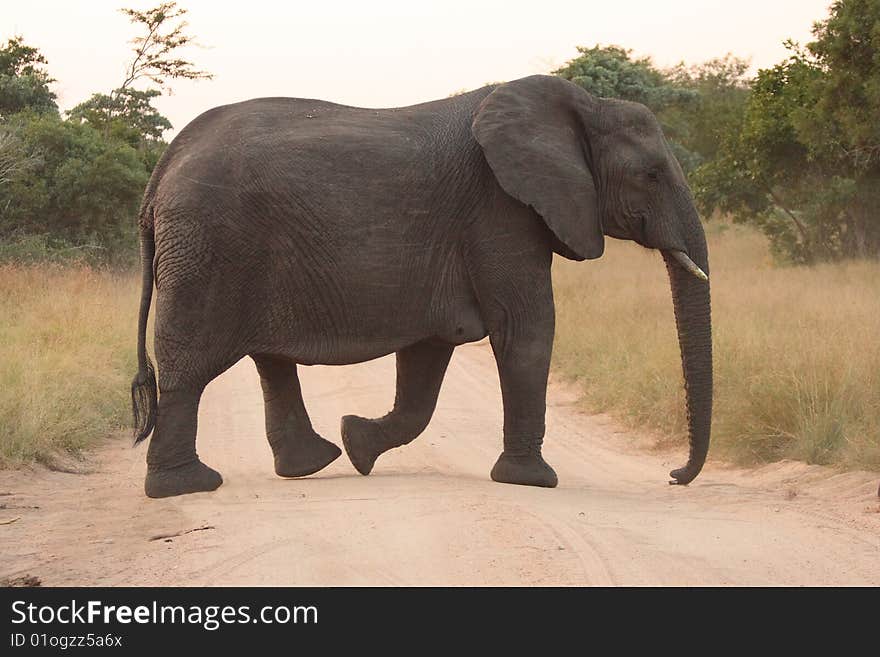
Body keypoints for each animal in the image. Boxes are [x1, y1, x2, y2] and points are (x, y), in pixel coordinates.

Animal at [127, 73, 712, 498]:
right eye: (652, 175)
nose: (674, 476)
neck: (586, 107)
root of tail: (160, 173)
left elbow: (429, 357)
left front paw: (359, 443)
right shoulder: (499, 209)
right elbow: (526, 330)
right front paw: (534, 482)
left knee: (269, 359)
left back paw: (313, 462)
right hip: (207, 246)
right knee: (189, 365)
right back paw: (185, 488)